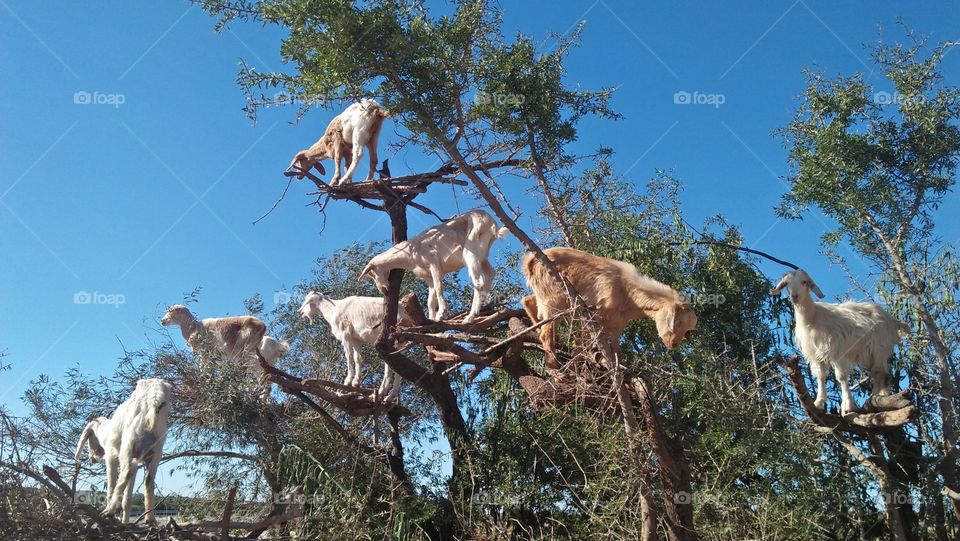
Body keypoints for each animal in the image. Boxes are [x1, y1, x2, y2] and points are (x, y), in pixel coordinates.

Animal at [76, 378, 173, 520]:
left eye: (89, 438)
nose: (92, 459)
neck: (106, 432)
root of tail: (154, 398)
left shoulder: (111, 457)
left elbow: (111, 487)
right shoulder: (135, 463)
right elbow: (127, 500)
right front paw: (125, 521)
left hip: (128, 444)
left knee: (124, 476)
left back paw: (109, 510)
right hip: (156, 450)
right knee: (149, 481)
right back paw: (150, 519)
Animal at [360, 210, 510, 320]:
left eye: (372, 273)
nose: (383, 289)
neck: (410, 253)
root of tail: (492, 224)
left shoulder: (434, 265)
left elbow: (439, 288)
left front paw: (441, 313)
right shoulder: (428, 277)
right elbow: (430, 301)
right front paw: (432, 319)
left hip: (471, 251)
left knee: (478, 282)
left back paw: (470, 317)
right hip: (482, 255)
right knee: (491, 274)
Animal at [516, 247, 696, 370]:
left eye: (688, 330)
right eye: (677, 322)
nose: (674, 344)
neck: (628, 294)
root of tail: (530, 260)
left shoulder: (615, 327)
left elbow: (617, 353)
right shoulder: (592, 317)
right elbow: (580, 348)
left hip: (546, 296)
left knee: (529, 301)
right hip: (554, 299)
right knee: (546, 333)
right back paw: (555, 370)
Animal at [772, 266, 908, 414]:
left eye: (804, 282)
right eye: (787, 284)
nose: (794, 296)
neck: (812, 318)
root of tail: (893, 321)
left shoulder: (838, 352)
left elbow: (841, 377)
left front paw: (847, 406)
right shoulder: (815, 354)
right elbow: (820, 376)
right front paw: (819, 403)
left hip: (879, 349)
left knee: (883, 375)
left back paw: (880, 398)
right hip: (869, 353)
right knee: (877, 374)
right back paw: (875, 397)